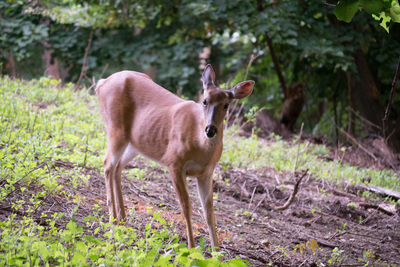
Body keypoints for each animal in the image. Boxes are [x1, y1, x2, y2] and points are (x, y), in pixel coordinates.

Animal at [95, 65, 255, 249]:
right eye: (204, 101)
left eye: (226, 105)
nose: (210, 130)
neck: (200, 147)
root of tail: (102, 83)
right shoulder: (174, 162)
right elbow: (186, 206)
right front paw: (191, 247)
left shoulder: (207, 173)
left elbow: (209, 211)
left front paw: (216, 251)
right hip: (116, 128)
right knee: (108, 164)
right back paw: (113, 222)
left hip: (135, 143)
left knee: (118, 167)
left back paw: (124, 222)